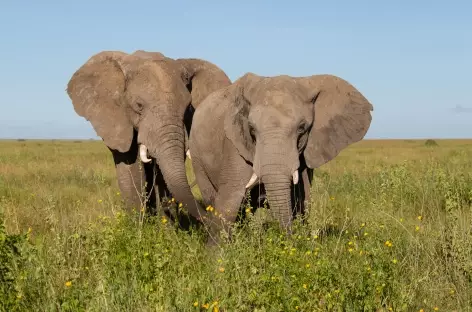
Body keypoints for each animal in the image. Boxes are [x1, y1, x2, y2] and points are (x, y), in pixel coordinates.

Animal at [66, 49, 232, 224]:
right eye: (139, 106)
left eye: (188, 108)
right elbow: (130, 166)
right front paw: (137, 225)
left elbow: (163, 172)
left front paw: (166, 225)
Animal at [188, 71, 372, 244]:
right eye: (252, 129)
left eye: (302, 128)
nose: (289, 240)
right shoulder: (234, 143)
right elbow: (230, 197)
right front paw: (216, 253)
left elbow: (303, 199)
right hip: (197, 157)